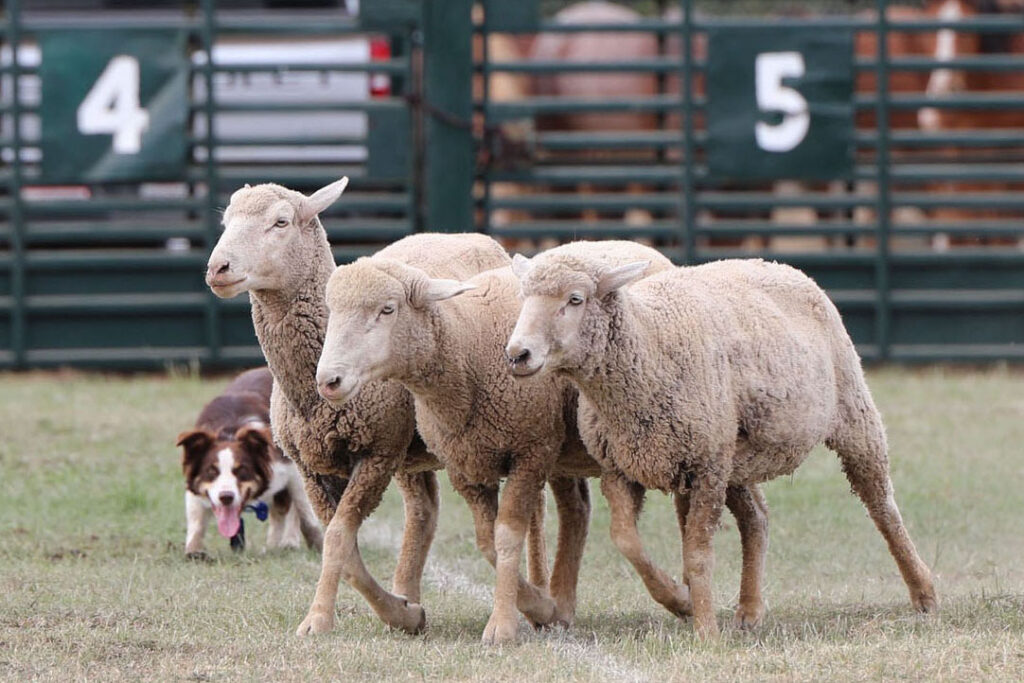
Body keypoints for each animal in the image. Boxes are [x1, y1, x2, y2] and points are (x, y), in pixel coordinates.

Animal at [175, 370, 319, 557]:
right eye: (211, 472)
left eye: (242, 471)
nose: (226, 497)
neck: (229, 432)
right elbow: (196, 520)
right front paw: (194, 552)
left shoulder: (290, 468)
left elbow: (306, 512)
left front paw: (319, 546)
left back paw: (288, 542)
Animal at [207, 179, 516, 638]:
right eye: (226, 221)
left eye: (280, 222)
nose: (218, 268)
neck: (309, 394)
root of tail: (465, 235)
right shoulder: (312, 466)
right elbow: (344, 546)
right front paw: (402, 612)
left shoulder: (376, 453)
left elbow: (338, 537)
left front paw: (318, 620)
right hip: (410, 454)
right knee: (423, 512)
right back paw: (408, 593)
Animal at [503, 250, 937, 643]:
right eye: (523, 297)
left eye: (575, 299)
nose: (518, 354)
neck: (648, 347)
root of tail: (780, 265)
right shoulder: (623, 466)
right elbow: (626, 540)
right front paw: (678, 599)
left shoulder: (706, 467)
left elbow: (697, 555)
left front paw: (705, 631)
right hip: (737, 455)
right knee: (757, 518)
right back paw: (749, 610)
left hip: (851, 411)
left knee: (882, 505)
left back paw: (924, 592)